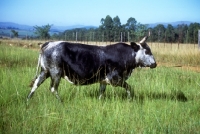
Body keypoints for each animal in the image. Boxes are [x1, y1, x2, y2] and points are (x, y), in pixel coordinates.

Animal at [27, 35, 156, 101]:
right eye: (147, 51)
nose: (155, 64)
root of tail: (49, 43)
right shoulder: (115, 78)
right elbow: (129, 87)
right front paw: (130, 100)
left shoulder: (103, 80)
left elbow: (101, 92)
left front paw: (99, 103)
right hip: (55, 72)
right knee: (53, 88)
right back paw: (61, 102)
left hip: (45, 71)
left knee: (35, 85)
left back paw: (28, 102)